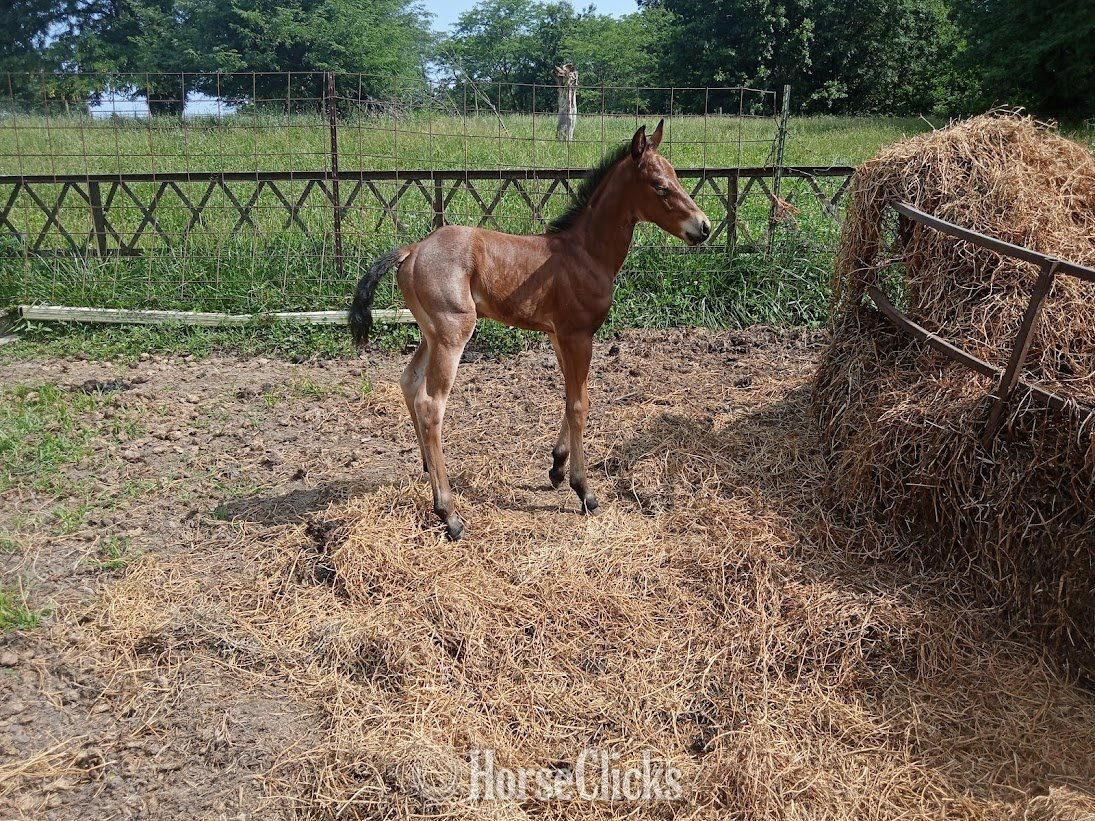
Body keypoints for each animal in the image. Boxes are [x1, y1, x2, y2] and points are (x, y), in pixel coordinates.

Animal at [350, 120, 711, 540]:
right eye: (660, 186)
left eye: (676, 178)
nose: (703, 228)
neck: (584, 253)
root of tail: (412, 249)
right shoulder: (578, 335)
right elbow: (579, 403)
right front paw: (583, 490)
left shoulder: (558, 335)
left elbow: (571, 397)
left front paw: (556, 466)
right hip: (453, 333)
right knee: (430, 403)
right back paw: (449, 514)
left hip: (429, 333)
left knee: (408, 380)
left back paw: (427, 467)